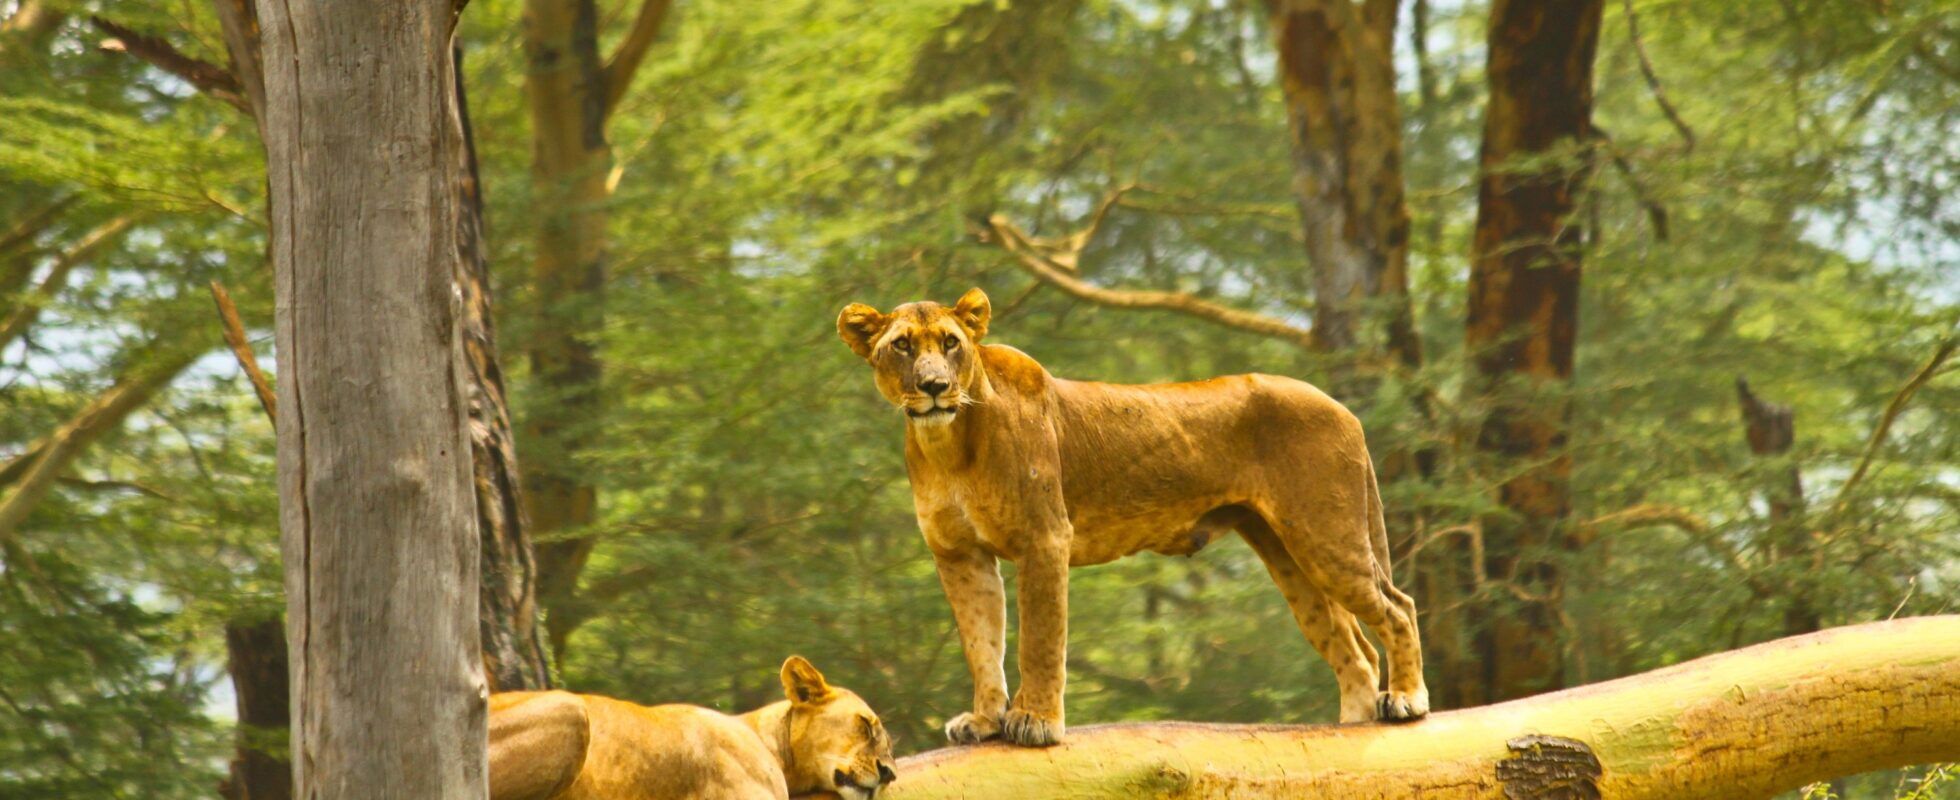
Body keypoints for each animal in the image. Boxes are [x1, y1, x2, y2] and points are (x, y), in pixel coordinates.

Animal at [837, 288, 1429, 747]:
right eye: (902, 346)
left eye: (951, 344)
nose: (934, 387)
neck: (948, 443)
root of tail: (1341, 406)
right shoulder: (960, 555)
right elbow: (982, 642)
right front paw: (984, 720)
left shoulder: (1045, 538)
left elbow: (1039, 639)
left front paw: (1034, 722)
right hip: (1286, 552)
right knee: (1353, 650)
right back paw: (1349, 728)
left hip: (1326, 534)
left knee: (1398, 606)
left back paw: (1405, 700)